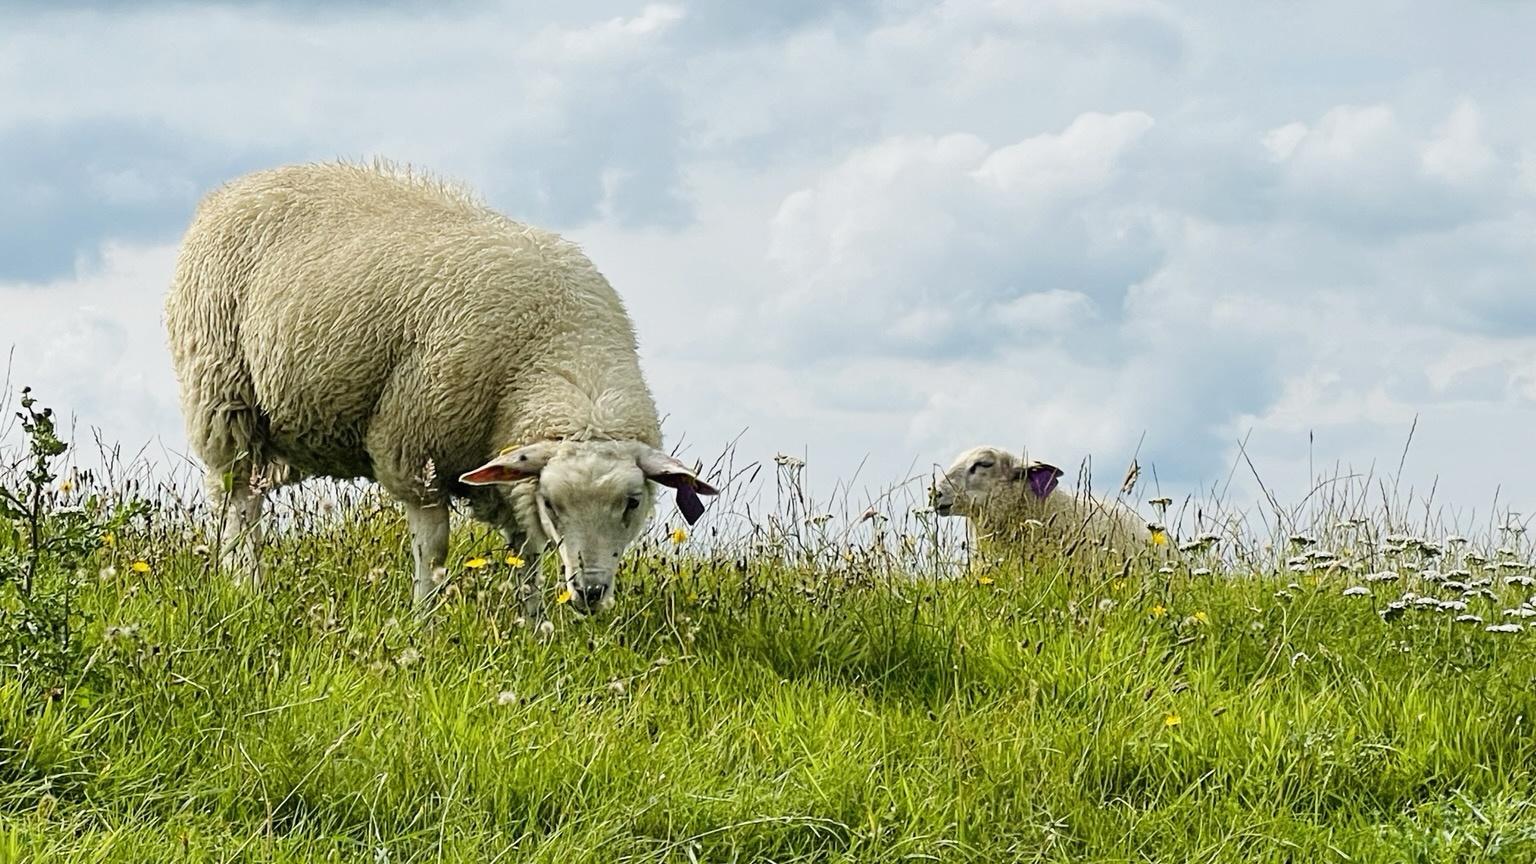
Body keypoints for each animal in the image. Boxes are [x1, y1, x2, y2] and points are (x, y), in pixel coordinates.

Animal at [164, 160, 718, 617]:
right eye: (555, 503)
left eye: (632, 503)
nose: (589, 592)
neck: (565, 353)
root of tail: (237, 186)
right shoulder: (417, 451)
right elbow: (433, 551)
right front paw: (423, 622)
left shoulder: (508, 466)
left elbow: (528, 554)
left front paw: (533, 625)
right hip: (224, 395)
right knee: (238, 505)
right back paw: (244, 585)